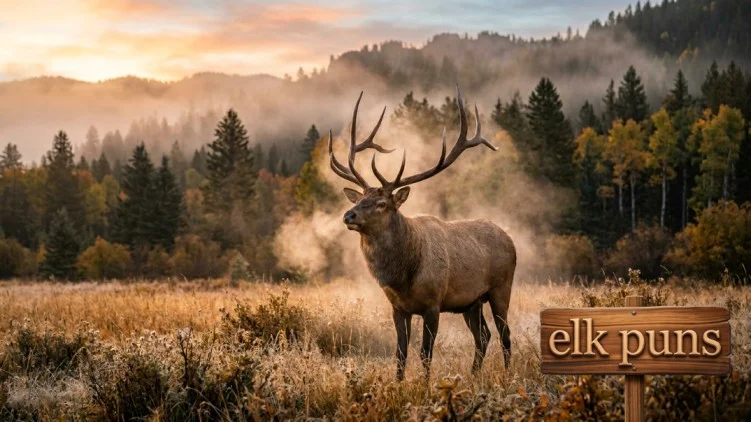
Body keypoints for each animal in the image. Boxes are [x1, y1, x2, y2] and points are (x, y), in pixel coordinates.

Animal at [328, 87, 516, 380]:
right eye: (359, 199)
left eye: (381, 204)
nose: (349, 216)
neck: (402, 276)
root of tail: (510, 239)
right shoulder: (397, 307)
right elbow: (401, 353)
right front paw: (398, 384)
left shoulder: (433, 303)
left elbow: (426, 353)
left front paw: (424, 385)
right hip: (472, 301)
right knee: (483, 336)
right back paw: (474, 376)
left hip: (501, 287)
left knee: (505, 334)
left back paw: (507, 376)